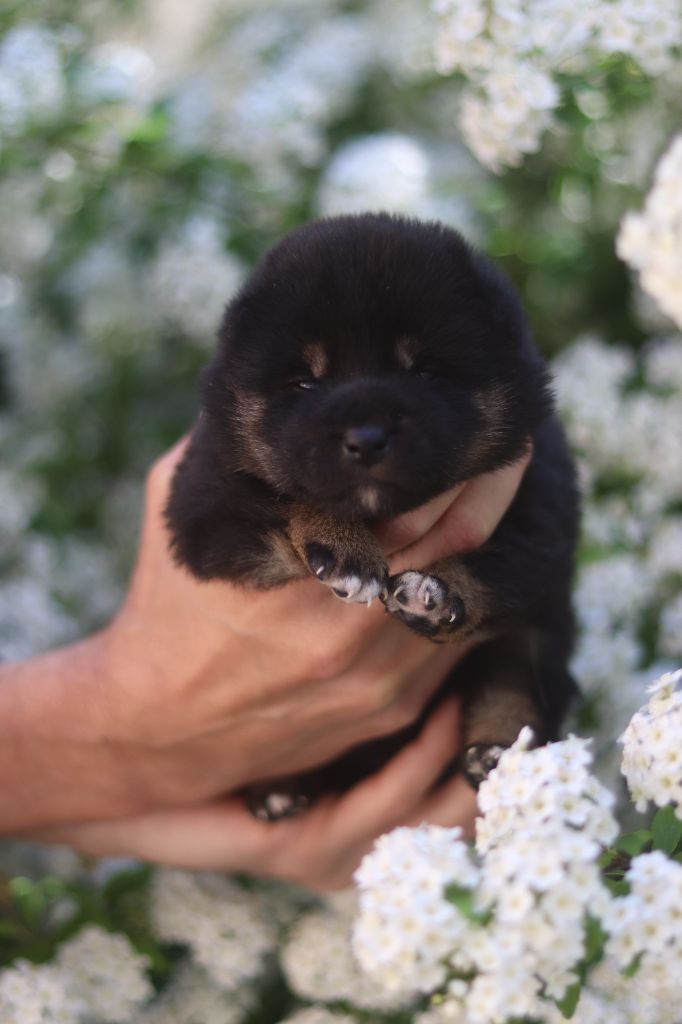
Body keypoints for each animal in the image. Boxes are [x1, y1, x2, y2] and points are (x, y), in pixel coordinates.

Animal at [165, 213, 580, 820]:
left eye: (425, 372)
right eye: (304, 383)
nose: (366, 438)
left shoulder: (542, 508)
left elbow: (501, 571)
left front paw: (435, 596)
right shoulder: (206, 504)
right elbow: (284, 497)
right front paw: (345, 552)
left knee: (515, 673)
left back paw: (496, 750)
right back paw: (280, 787)